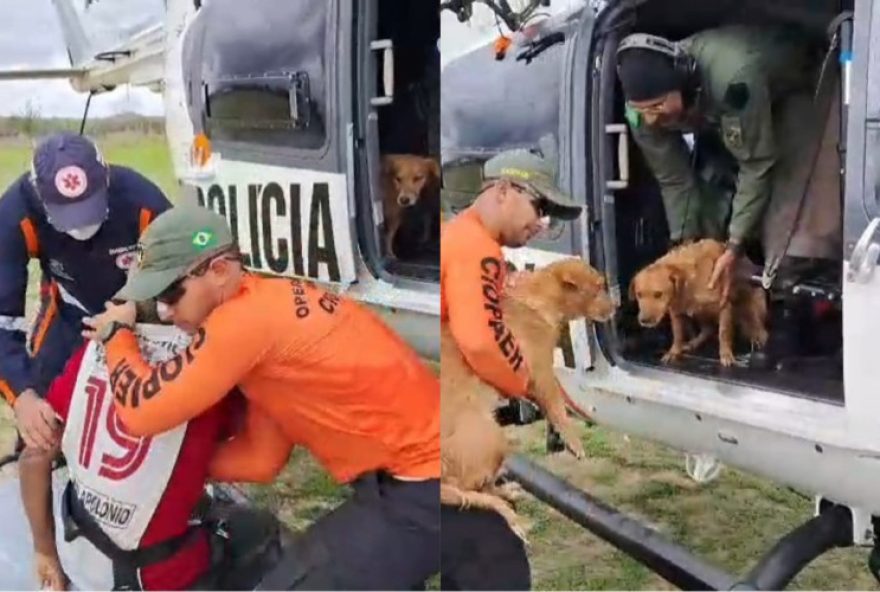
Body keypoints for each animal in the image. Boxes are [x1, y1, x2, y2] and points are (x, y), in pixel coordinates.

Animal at [444, 260, 616, 540]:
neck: (536, 298)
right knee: (469, 488)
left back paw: (506, 492)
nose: (616, 307)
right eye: (599, 286)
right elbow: (559, 410)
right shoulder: (542, 373)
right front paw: (574, 442)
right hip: (492, 436)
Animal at [628, 238, 768, 368]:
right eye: (639, 294)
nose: (644, 320)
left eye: (658, 294)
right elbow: (678, 335)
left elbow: (723, 333)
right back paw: (693, 343)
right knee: (708, 330)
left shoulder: (724, 305)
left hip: (751, 307)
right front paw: (674, 352)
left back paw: (757, 337)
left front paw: (726, 354)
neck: (687, 280)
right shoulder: (675, 312)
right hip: (700, 312)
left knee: (759, 329)